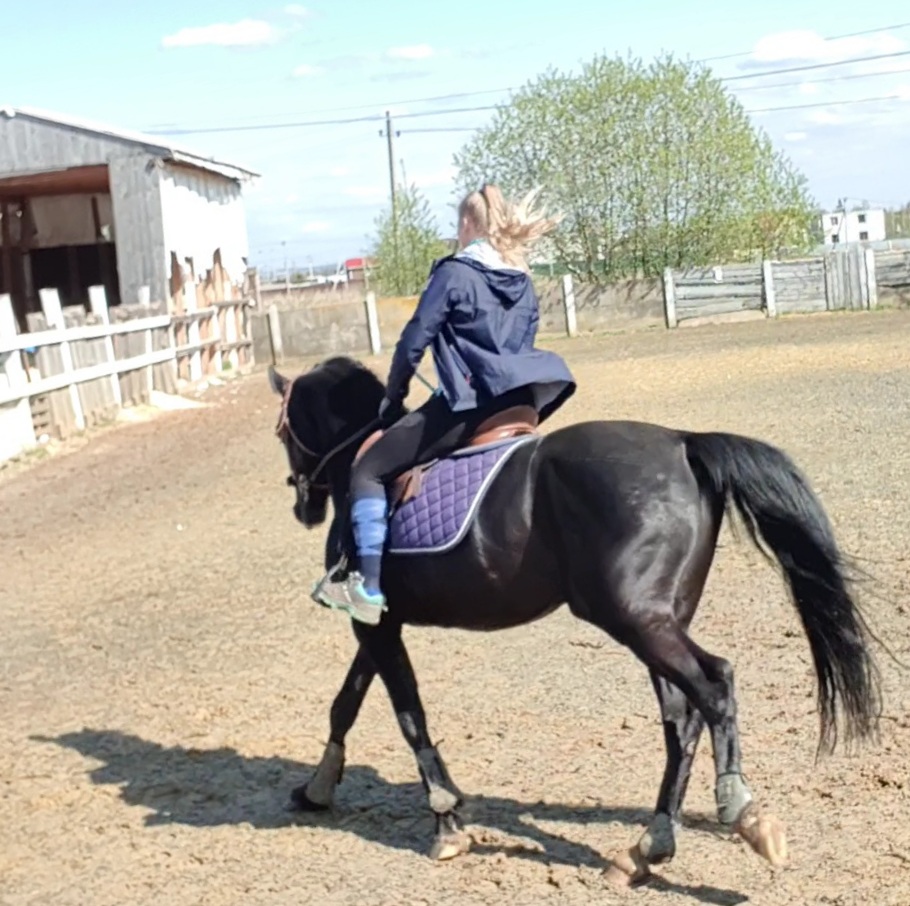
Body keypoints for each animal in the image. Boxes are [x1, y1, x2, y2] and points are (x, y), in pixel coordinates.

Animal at [267, 355, 881, 887]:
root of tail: (683, 442)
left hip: (636, 620)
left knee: (715, 684)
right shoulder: (376, 623)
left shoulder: (374, 625)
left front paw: (445, 823)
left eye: (283, 433)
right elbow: (347, 701)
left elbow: (408, 716)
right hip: (657, 620)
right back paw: (647, 848)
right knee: (682, 719)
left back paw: (740, 812)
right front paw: (317, 788)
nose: (302, 507)